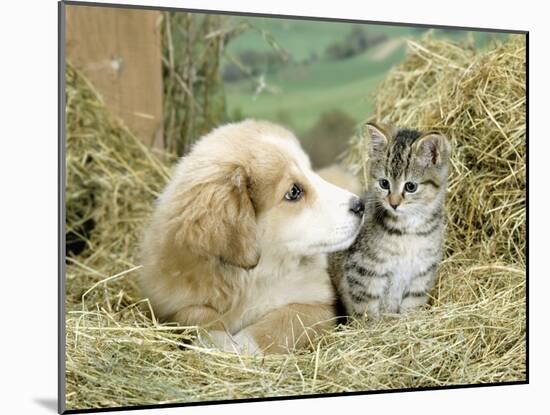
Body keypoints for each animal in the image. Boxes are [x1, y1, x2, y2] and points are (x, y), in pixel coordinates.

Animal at [140, 119, 366, 354]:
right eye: (294, 192)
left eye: (311, 171)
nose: (360, 205)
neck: (254, 277)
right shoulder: (169, 303)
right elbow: (194, 313)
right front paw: (214, 339)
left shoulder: (319, 303)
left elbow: (284, 322)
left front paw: (242, 346)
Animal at [332, 122, 452, 320]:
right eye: (384, 183)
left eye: (410, 186)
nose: (393, 203)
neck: (409, 230)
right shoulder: (363, 270)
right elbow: (366, 308)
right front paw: (372, 325)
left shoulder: (422, 272)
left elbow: (412, 304)